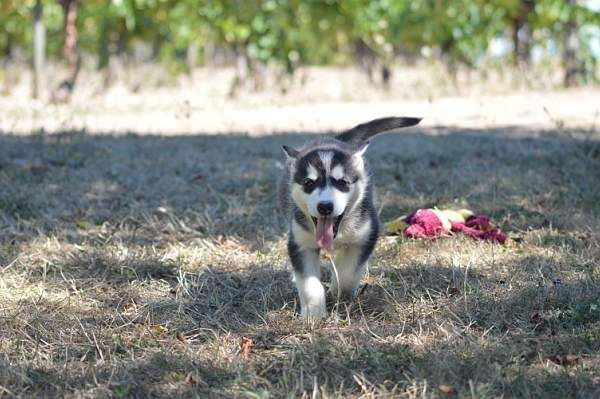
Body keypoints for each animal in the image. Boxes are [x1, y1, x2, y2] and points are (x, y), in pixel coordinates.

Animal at [278, 117, 420, 320]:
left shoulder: (365, 236)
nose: (325, 206)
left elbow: (348, 273)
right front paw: (313, 313)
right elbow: (309, 283)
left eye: (343, 182)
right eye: (308, 183)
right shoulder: (301, 243)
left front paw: (338, 292)